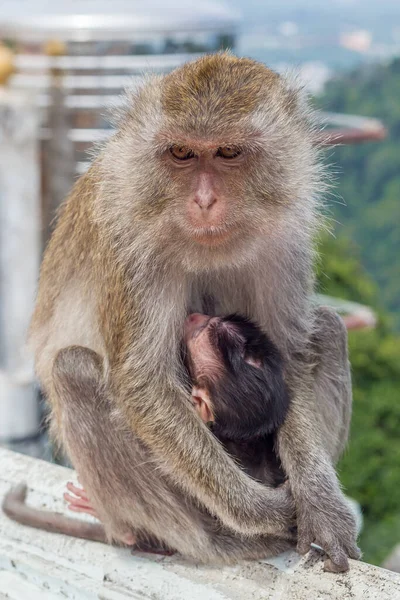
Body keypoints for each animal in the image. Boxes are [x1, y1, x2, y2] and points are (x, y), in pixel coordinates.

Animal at [2, 316, 290, 552]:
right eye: (208, 321)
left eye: (199, 332)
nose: (194, 316)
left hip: (176, 521)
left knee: (70, 365)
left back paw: (122, 530)